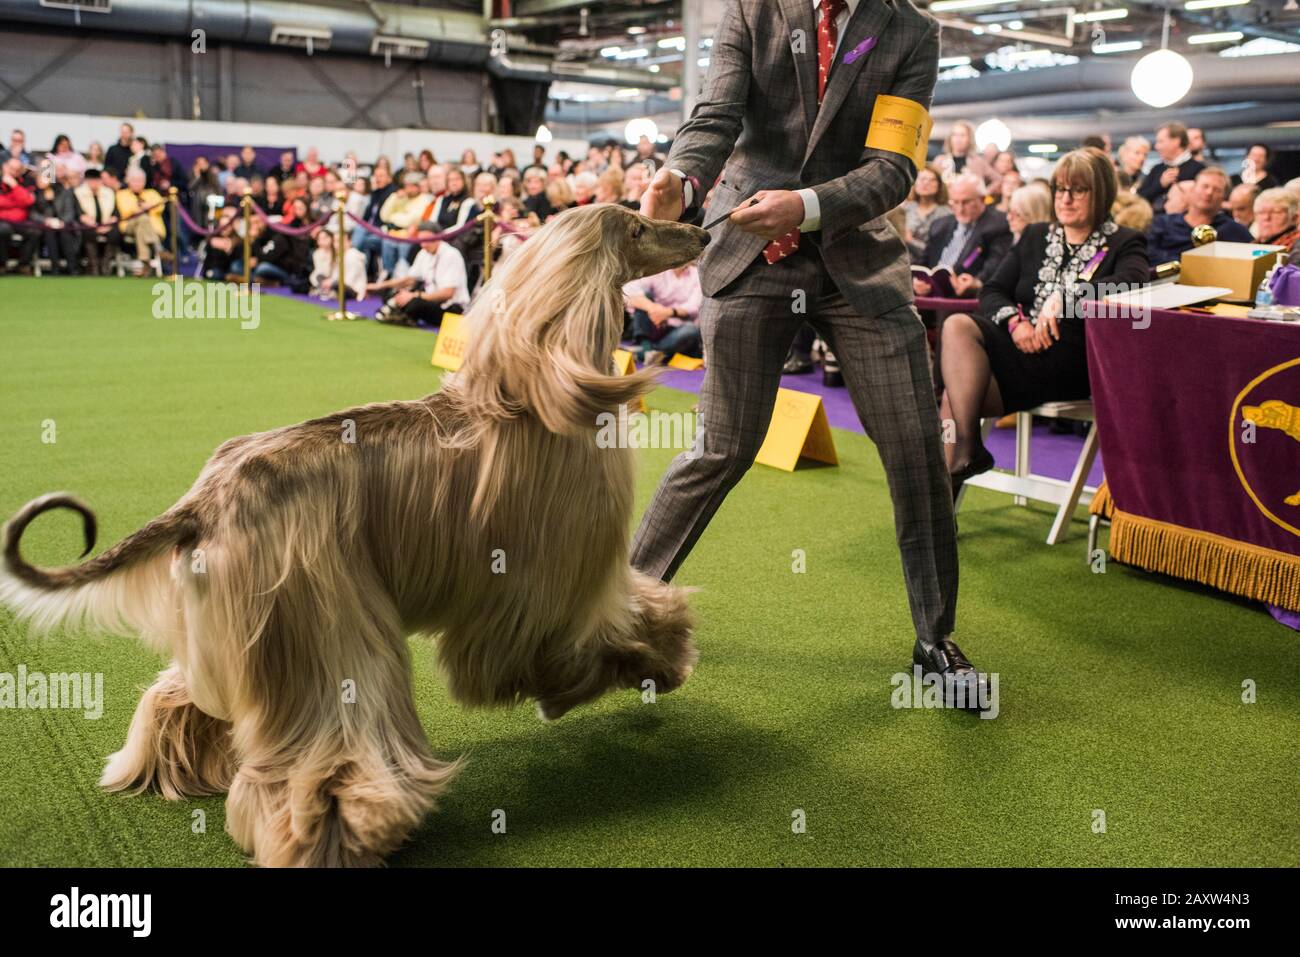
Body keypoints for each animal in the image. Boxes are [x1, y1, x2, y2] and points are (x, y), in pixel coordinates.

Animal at [0, 201, 707, 868]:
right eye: (638, 229)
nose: (701, 232)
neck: (533, 391)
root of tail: (204, 500)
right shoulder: (549, 580)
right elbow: (590, 636)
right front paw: (642, 668)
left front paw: (663, 652)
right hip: (321, 618)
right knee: (318, 757)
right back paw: (346, 830)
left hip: (234, 629)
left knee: (182, 697)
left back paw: (165, 768)